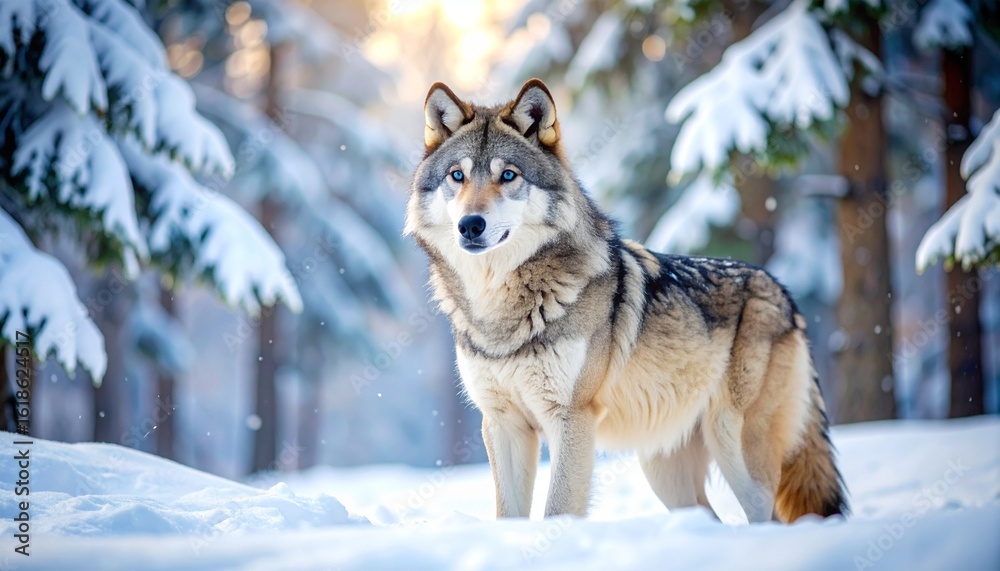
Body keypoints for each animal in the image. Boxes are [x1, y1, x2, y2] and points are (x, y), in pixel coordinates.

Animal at [404, 79, 848, 523]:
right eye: (457, 176)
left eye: (508, 175)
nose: (470, 225)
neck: (499, 306)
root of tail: (783, 292)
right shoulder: (501, 424)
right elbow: (508, 516)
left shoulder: (572, 418)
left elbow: (558, 509)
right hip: (666, 473)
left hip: (734, 447)